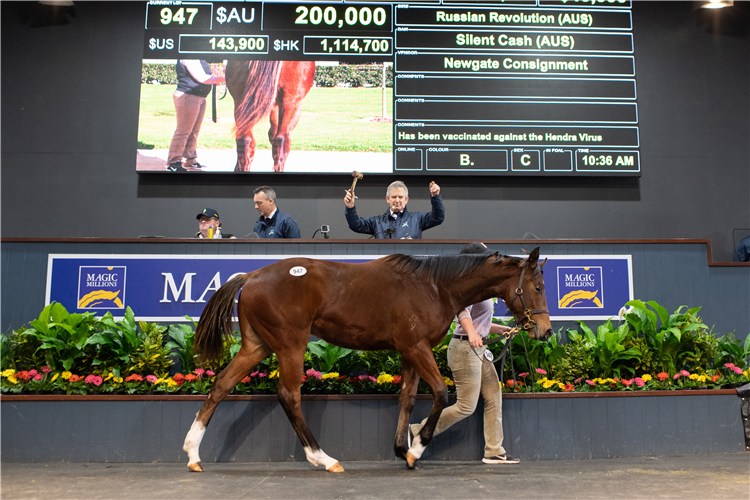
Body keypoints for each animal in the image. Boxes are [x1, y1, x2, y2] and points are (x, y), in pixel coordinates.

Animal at [185, 249, 556, 472]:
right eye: (538, 286)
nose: (545, 331)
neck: (435, 285)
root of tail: (250, 276)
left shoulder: (408, 351)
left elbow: (407, 398)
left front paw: (402, 450)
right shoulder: (417, 347)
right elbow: (439, 392)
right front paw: (417, 448)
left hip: (257, 346)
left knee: (220, 385)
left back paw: (193, 454)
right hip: (291, 345)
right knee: (289, 396)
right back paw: (323, 458)